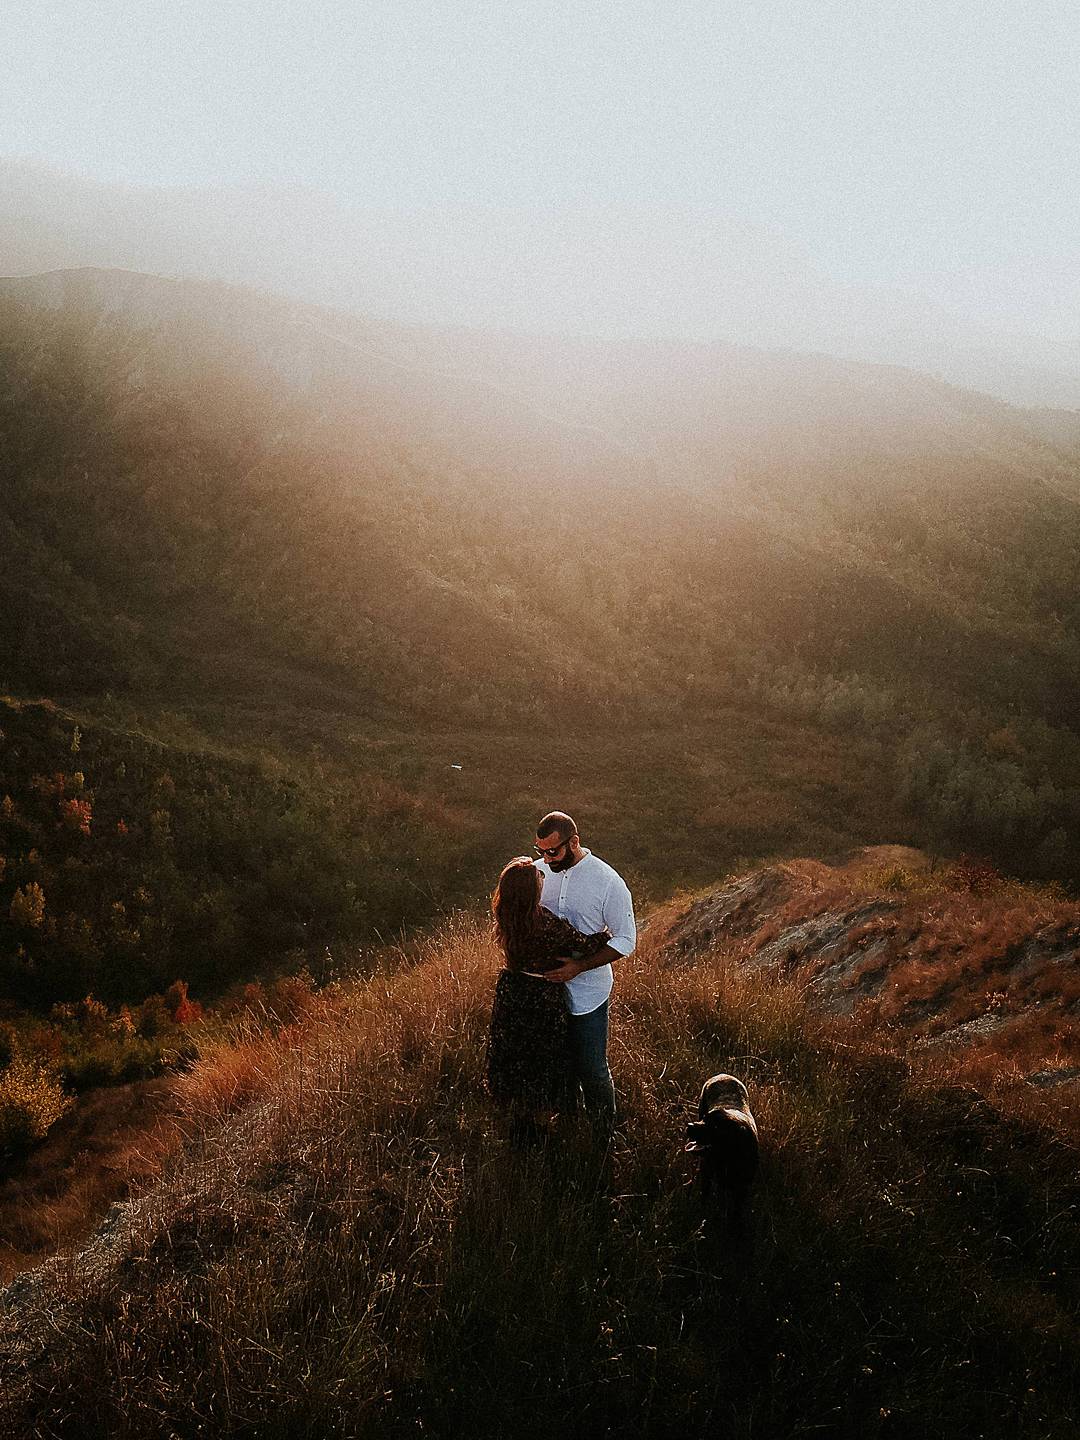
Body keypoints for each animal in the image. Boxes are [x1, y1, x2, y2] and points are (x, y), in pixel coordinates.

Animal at [685, 1071, 760, 1226]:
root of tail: (723, 1075)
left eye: (715, 1127)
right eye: (704, 1119)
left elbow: (736, 1212)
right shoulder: (707, 1171)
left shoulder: (742, 1188)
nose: (689, 1126)